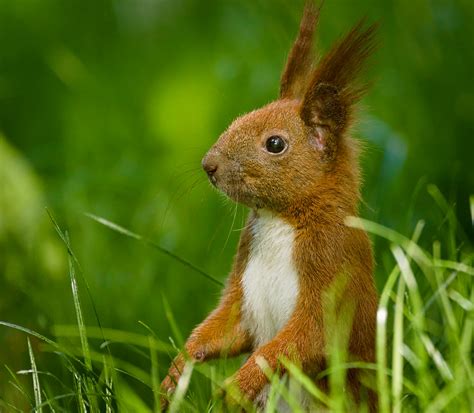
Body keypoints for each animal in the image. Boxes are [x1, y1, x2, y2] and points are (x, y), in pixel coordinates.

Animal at [162, 1, 378, 408]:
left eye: (274, 144)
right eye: (240, 117)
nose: (208, 165)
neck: (282, 220)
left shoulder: (333, 269)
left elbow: (302, 339)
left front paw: (237, 385)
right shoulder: (242, 290)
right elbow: (227, 328)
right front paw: (179, 367)